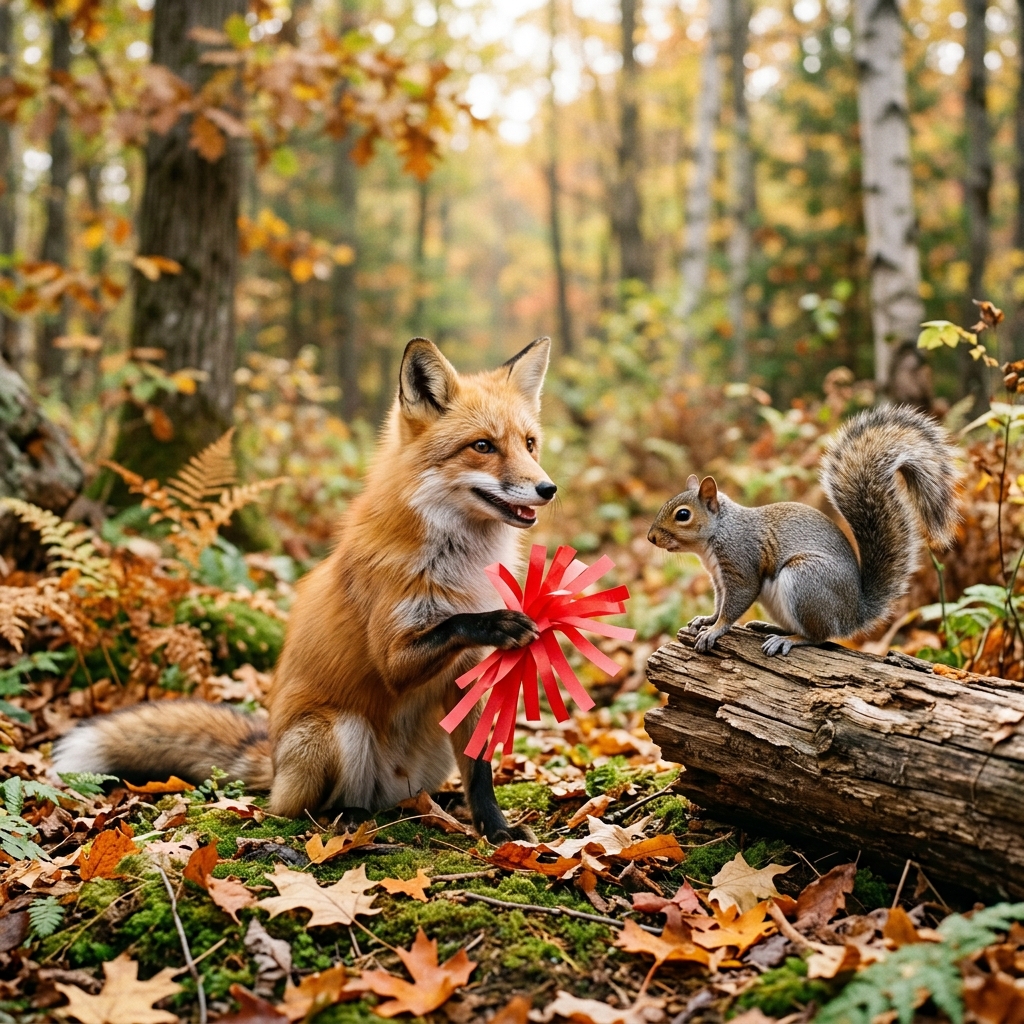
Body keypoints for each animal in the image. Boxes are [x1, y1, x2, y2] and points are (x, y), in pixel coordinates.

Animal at [53, 337, 557, 842]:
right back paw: (345, 820)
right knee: (302, 808)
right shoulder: (393, 654)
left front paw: (497, 830)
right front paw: (498, 622)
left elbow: (480, 771)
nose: (547, 488)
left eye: (530, 443)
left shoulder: (470, 678)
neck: (460, 566)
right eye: (482, 446)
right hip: (338, 730)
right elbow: (453, 625)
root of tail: (276, 767)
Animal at [647, 405, 961, 656]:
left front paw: (715, 630)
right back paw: (769, 626)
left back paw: (789, 639)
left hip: (805, 580)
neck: (718, 532)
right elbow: (719, 604)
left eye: (683, 515)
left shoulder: (741, 562)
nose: (651, 537)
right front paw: (707, 619)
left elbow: (735, 604)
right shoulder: (718, 579)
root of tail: (853, 614)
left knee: (819, 637)